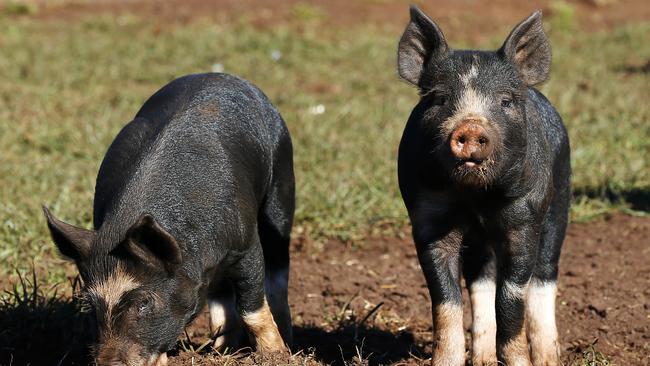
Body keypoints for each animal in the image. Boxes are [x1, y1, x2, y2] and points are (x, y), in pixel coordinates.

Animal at [42, 73, 292, 364]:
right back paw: (222, 351)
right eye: (92, 305)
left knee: (277, 271)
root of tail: (221, 75)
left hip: (282, 184)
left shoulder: (245, 244)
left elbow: (251, 307)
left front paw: (275, 355)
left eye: (144, 302)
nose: (108, 362)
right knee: (220, 297)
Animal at [394, 6, 568, 366]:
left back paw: (548, 358)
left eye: (506, 101)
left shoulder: (524, 217)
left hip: (560, 200)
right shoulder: (428, 216)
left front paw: (520, 363)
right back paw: (483, 360)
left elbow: (512, 296)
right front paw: (446, 362)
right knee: (481, 281)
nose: (471, 127)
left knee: (544, 276)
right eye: (439, 98)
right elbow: (446, 298)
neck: (476, 199)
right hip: (479, 243)